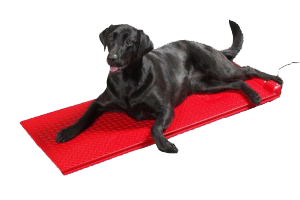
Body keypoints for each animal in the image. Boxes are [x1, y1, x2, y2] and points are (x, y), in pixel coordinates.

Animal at [55, 19, 282, 153]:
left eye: (129, 42)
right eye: (111, 37)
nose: (112, 58)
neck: (127, 81)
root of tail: (208, 45)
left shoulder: (166, 109)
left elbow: (154, 128)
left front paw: (165, 144)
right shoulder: (99, 102)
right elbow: (84, 116)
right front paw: (68, 131)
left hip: (219, 68)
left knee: (247, 69)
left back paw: (274, 81)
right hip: (205, 85)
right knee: (238, 82)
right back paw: (253, 95)